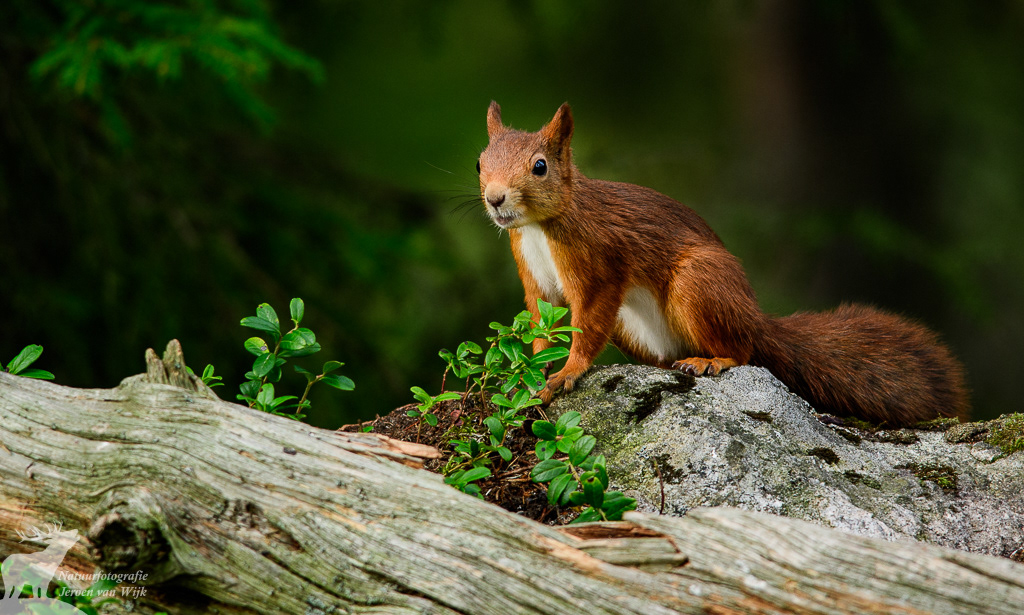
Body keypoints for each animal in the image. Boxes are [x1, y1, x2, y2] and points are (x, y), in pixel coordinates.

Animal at [476, 101, 969, 427]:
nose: (495, 198)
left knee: (745, 351)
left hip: (700, 281)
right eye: (481, 163)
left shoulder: (598, 265)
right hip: (638, 329)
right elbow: (541, 323)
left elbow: (588, 321)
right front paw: (529, 374)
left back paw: (711, 361)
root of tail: (754, 317)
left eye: (540, 166)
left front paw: (568, 371)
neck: (541, 226)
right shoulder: (534, 277)